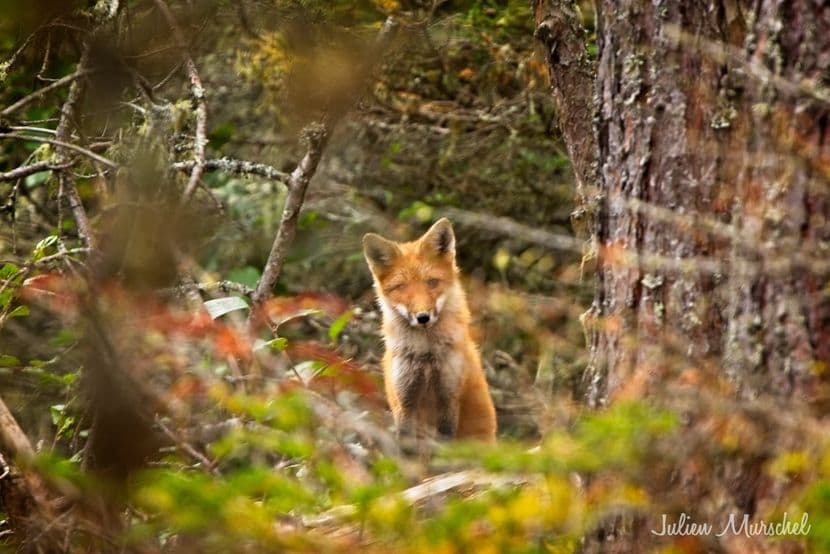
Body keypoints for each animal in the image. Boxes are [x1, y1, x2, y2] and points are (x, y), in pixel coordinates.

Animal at [362, 218, 497, 451]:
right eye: (401, 287)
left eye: (432, 282)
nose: (423, 317)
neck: (425, 356)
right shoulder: (405, 399)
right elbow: (406, 448)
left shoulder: (448, 397)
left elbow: (444, 445)